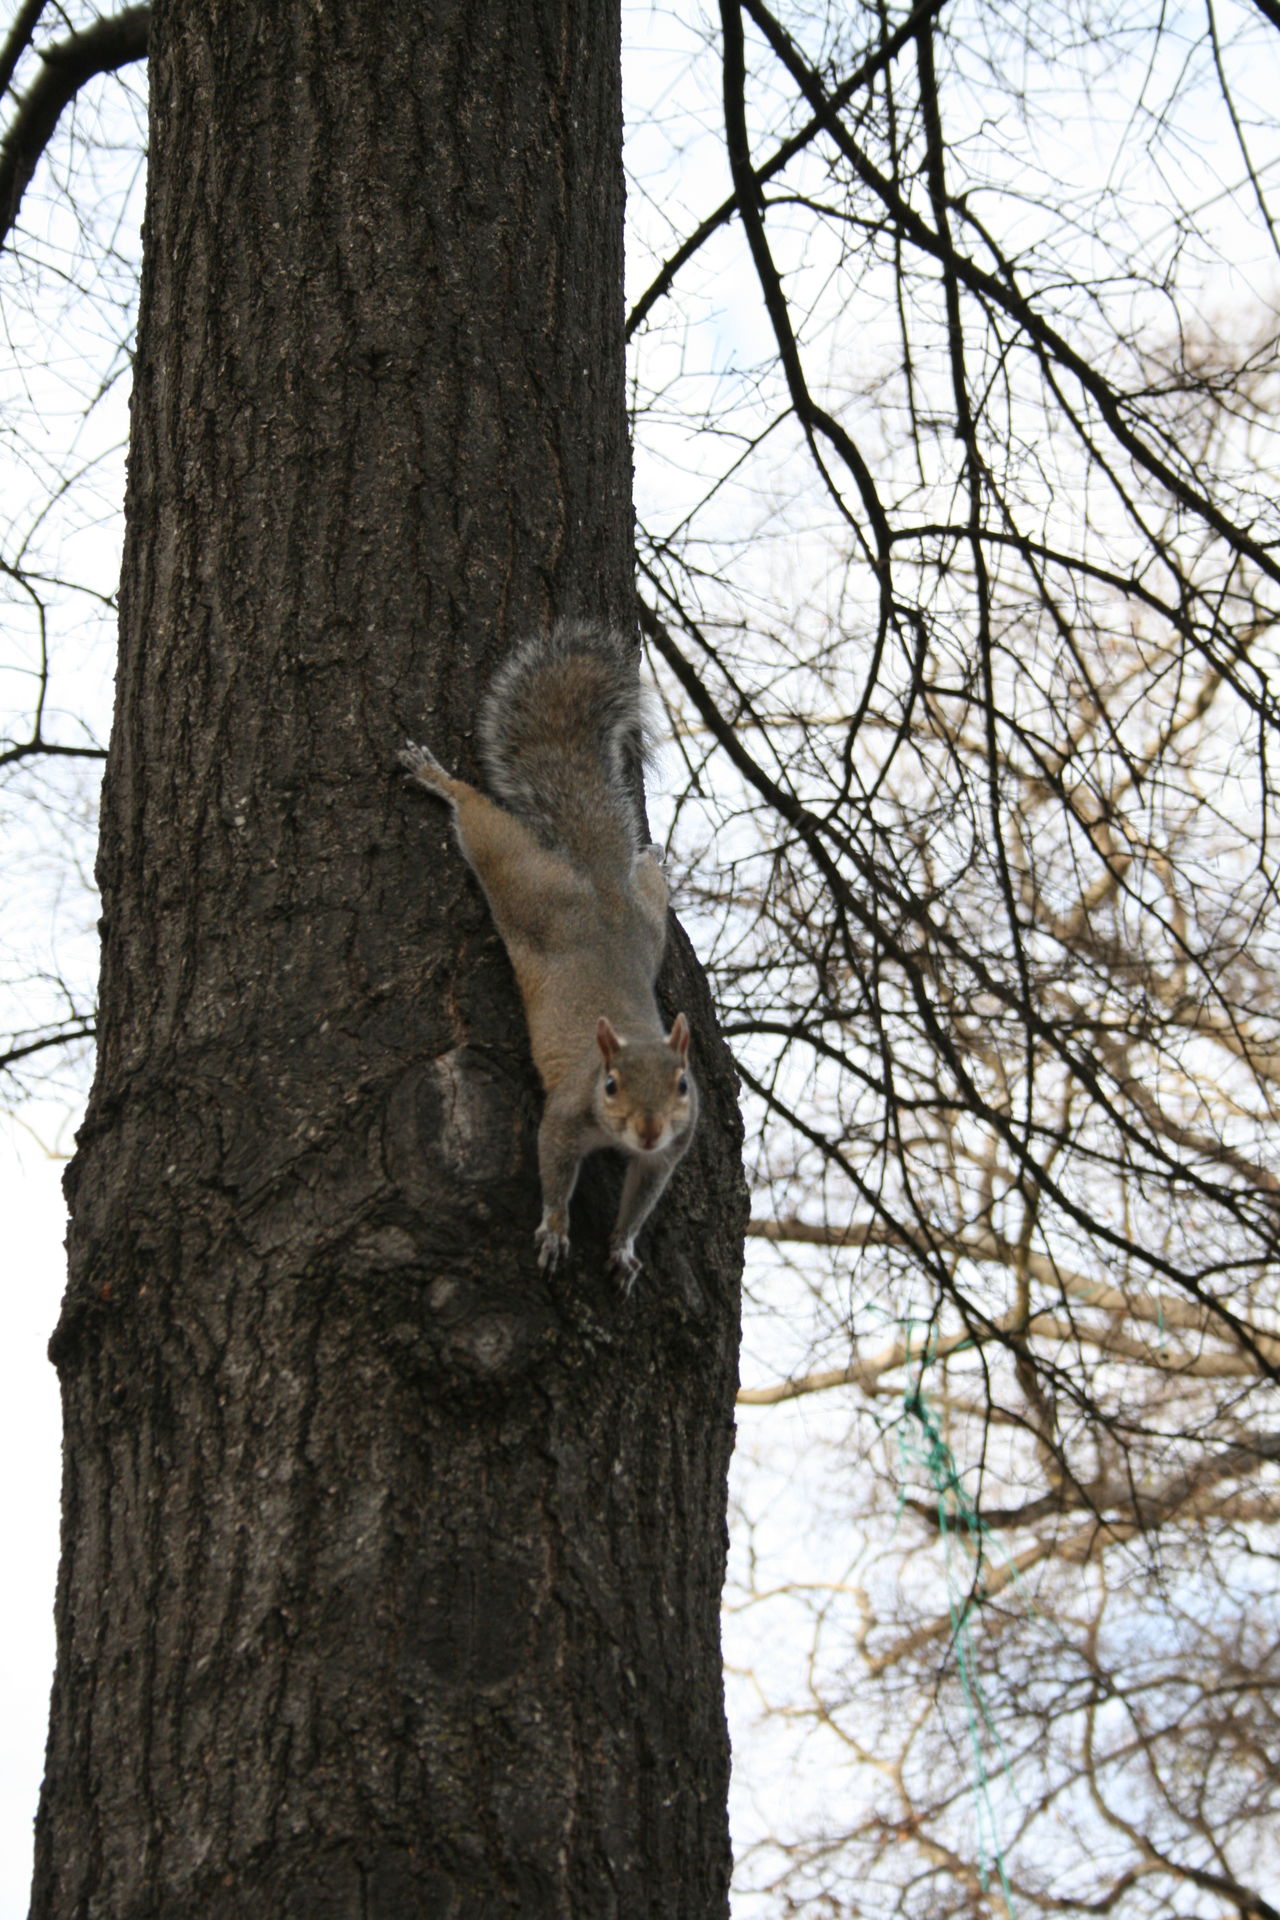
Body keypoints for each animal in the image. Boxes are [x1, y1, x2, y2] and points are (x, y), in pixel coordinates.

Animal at [401, 625, 702, 1290]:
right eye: (610, 1084)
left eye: (682, 1083)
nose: (648, 1128)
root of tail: (596, 888)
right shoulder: (565, 1116)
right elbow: (555, 1168)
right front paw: (556, 1231)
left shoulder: (669, 1152)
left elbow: (642, 1198)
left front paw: (623, 1248)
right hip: (520, 881)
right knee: (482, 824)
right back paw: (436, 777)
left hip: (647, 930)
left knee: (647, 888)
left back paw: (652, 861)